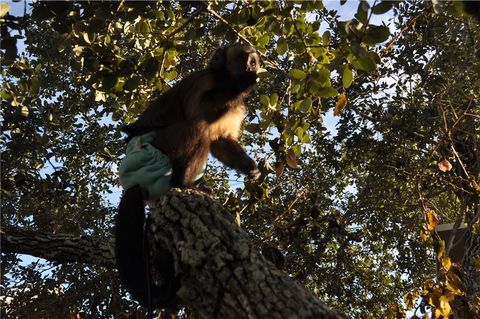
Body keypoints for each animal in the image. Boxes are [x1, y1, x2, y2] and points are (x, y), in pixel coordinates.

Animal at [115, 45, 260, 310]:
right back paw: (184, 183)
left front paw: (251, 168)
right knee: (196, 126)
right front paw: (246, 82)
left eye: (252, 61)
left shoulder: (238, 107)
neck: (224, 82)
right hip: (158, 146)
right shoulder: (203, 80)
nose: (250, 67)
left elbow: (221, 142)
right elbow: (199, 112)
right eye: (241, 58)